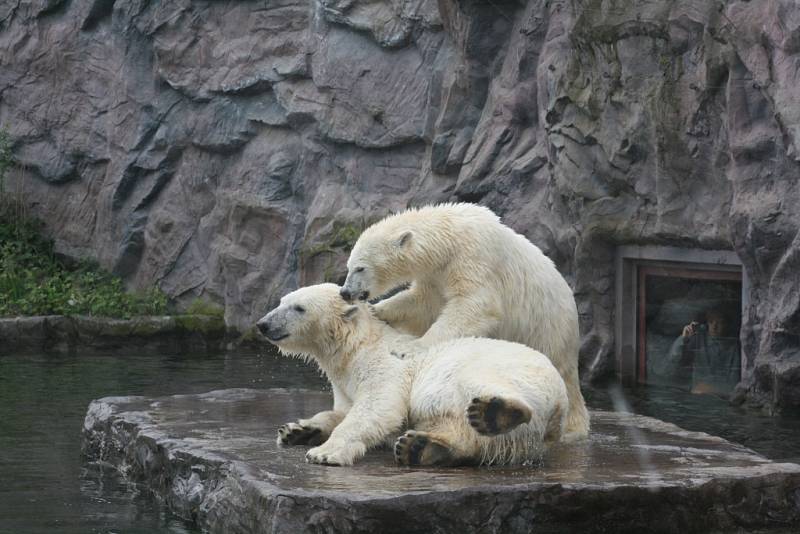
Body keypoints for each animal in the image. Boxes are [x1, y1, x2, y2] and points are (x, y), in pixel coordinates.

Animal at [256, 284, 568, 468]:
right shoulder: (344, 383)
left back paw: (496, 412)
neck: (356, 346)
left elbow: (379, 406)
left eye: (299, 307)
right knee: (462, 431)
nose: (263, 324)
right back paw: (420, 448)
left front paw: (324, 452)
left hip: (505, 369)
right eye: (281, 301)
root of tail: (560, 404)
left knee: (476, 385)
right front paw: (297, 430)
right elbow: (340, 411)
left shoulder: (385, 365)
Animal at [340, 203, 592, 442]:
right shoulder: (435, 275)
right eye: (348, 267)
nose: (345, 292)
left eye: (360, 267)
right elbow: (422, 303)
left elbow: (474, 305)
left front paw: (408, 347)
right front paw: (377, 310)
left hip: (548, 331)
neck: (450, 239)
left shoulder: (475, 257)